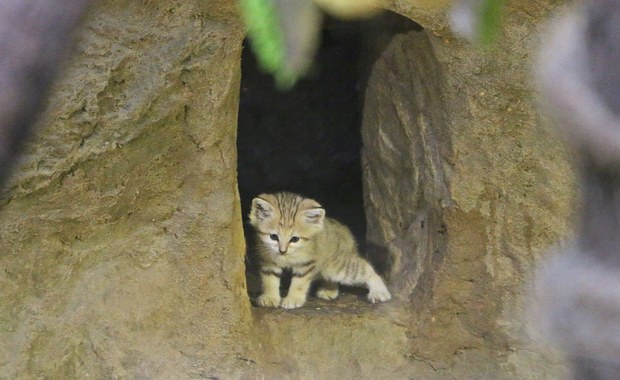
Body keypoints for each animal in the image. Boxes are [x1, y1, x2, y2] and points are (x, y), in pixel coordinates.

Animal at [248, 193, 390, 308]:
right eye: (273, 236)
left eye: (295, 239)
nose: (282, 251)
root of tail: (345, 231)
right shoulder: (268, 260)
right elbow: (269, 279)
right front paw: (270, 297)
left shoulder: (306, 263)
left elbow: (298, 283)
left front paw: (293, 299)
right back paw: (329, 290)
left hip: (335, 266)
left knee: (366, 268)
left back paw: (380, 292)